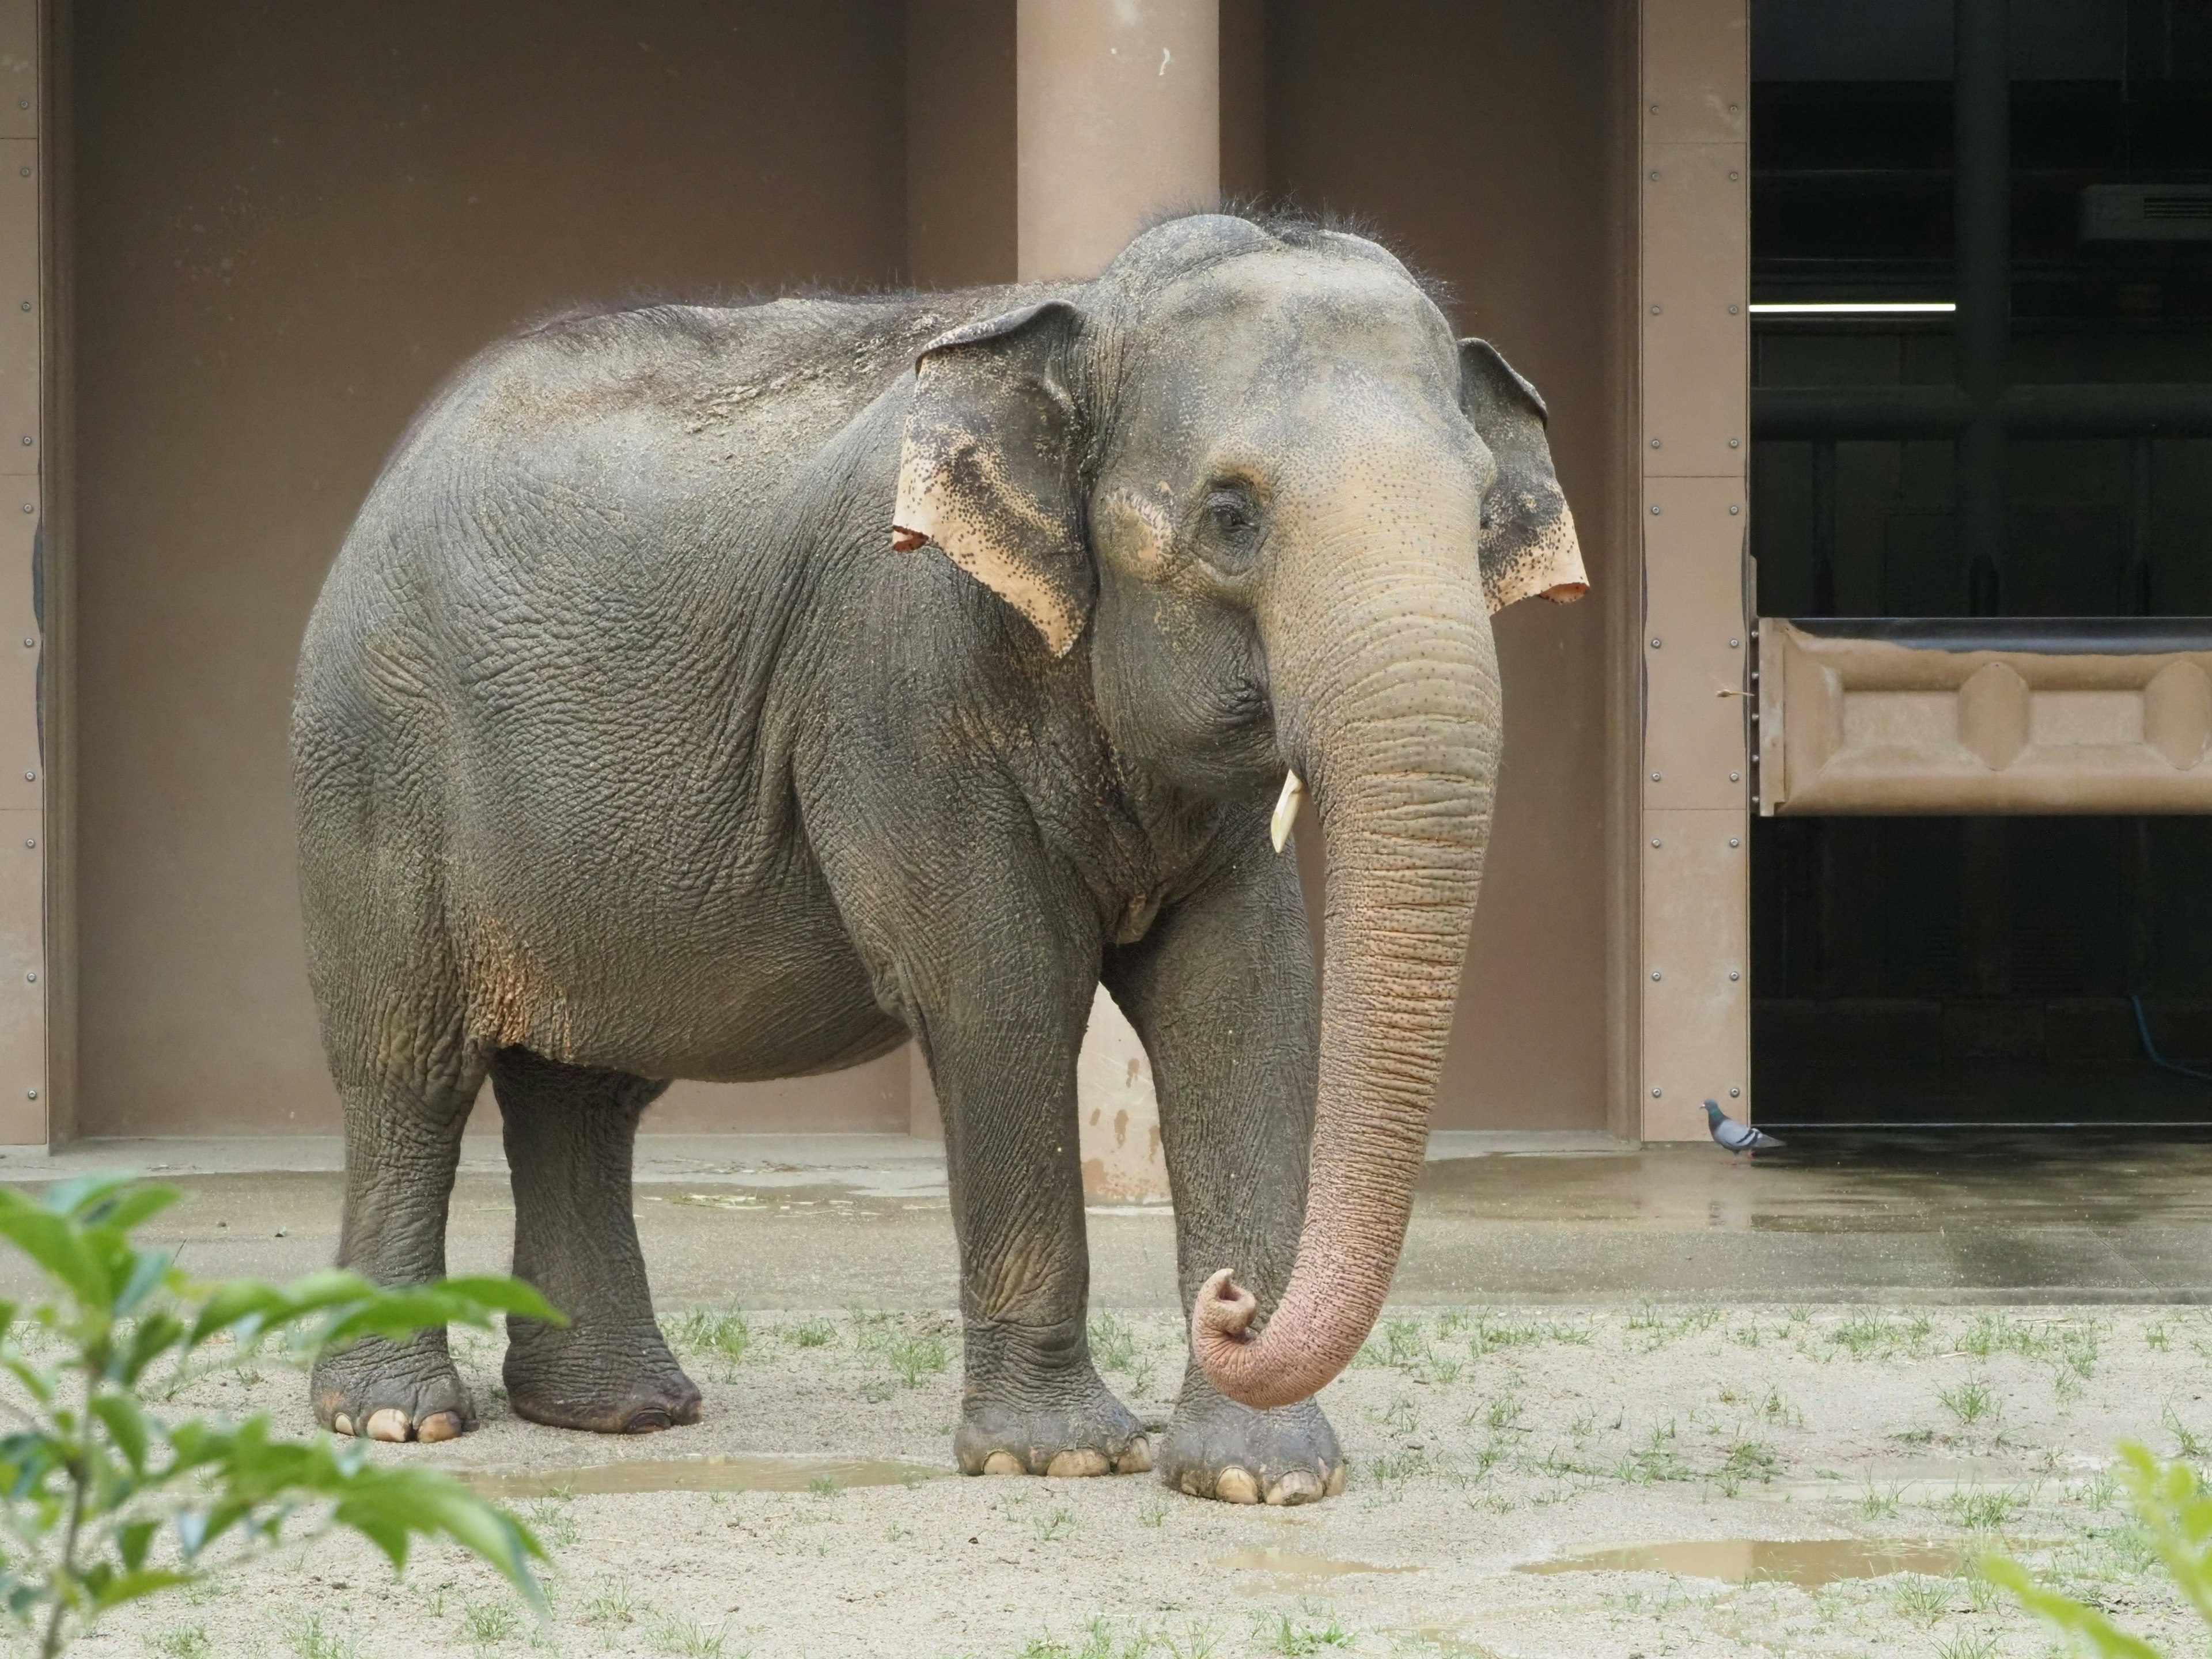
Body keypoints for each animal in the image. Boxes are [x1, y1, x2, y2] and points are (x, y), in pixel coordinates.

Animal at [290, 207, 1592, 1504]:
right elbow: (1000, 994)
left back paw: (620, 1412)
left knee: (582, 1091)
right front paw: (1062, 1457)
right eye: (1231, 515)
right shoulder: (897, 680)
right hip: (376, 767)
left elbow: (1243, 1002)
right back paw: (398, 1420)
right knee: (408, 1070)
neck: (1083, 315)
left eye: (1483, 518)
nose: (1232, 1305)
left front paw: (1262, 1481)